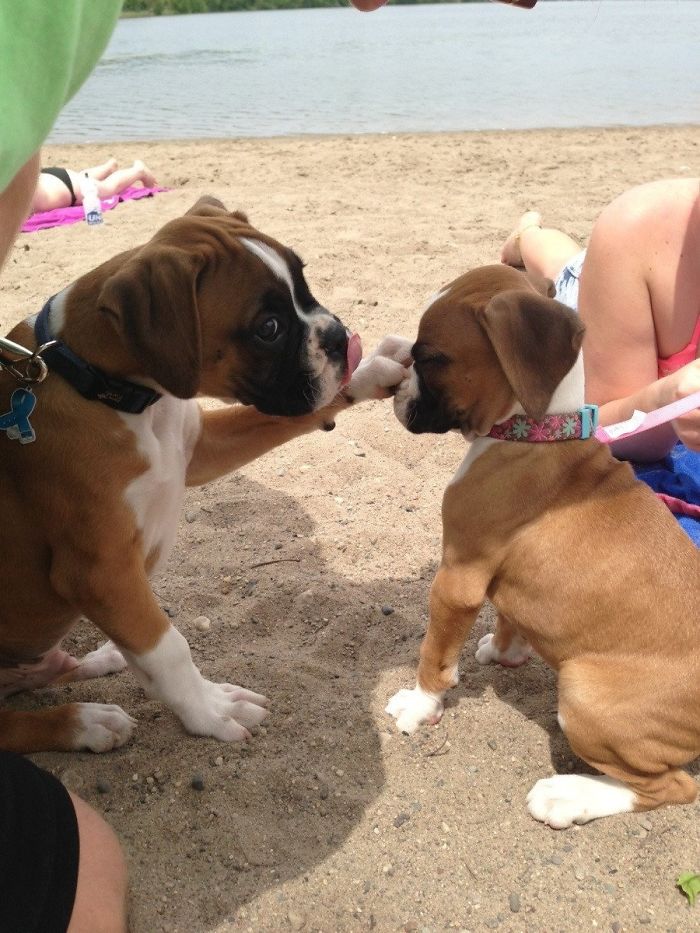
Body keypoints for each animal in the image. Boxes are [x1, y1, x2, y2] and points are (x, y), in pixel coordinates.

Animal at [0, 198, 404, 756]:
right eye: (269, 328)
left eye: (304, 283)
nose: (341, 339)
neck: (115, 392)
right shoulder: (100, 571)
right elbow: (168, 647)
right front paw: (210, 710)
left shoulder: (202, 451)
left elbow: (284, 417)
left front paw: (371, 373)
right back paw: (83, 722)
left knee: (57, 669)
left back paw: (100, 659)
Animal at [386, 266, 696, 828]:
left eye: (430, 358)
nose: (394, 387)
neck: (536, 432)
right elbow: (511, 614)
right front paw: (506, 652)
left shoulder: (458, 580)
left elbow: (432, 656)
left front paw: (419, 706)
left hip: (585, 696)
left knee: (669, 786)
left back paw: (569, 796)